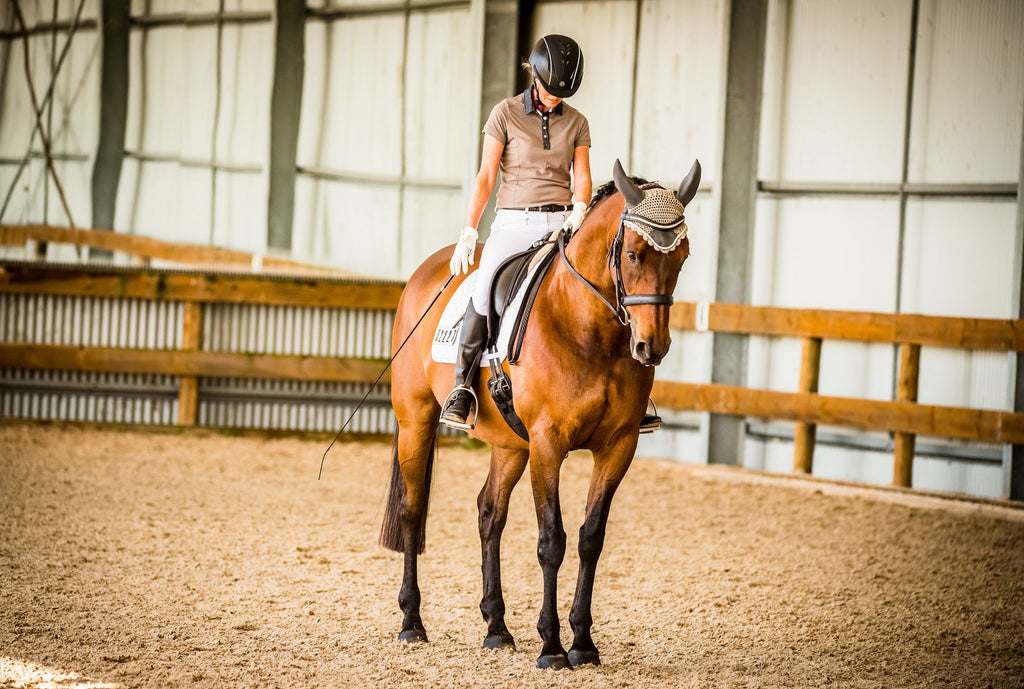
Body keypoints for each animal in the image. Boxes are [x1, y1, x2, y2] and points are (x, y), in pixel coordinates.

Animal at [380, 159, 700, 667]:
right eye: (633, 255)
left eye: (682, 257)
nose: (652, 347)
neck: (589, 329)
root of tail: (430, 269)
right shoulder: (549, 443)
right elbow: (552, 540)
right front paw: (552, 646)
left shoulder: (619, 446)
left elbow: (590, 539)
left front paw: (583, 642)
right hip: (417, 419)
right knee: (413, 509)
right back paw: (412, 622)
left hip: (511, 443)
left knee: (489, 513)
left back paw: (496, 627)